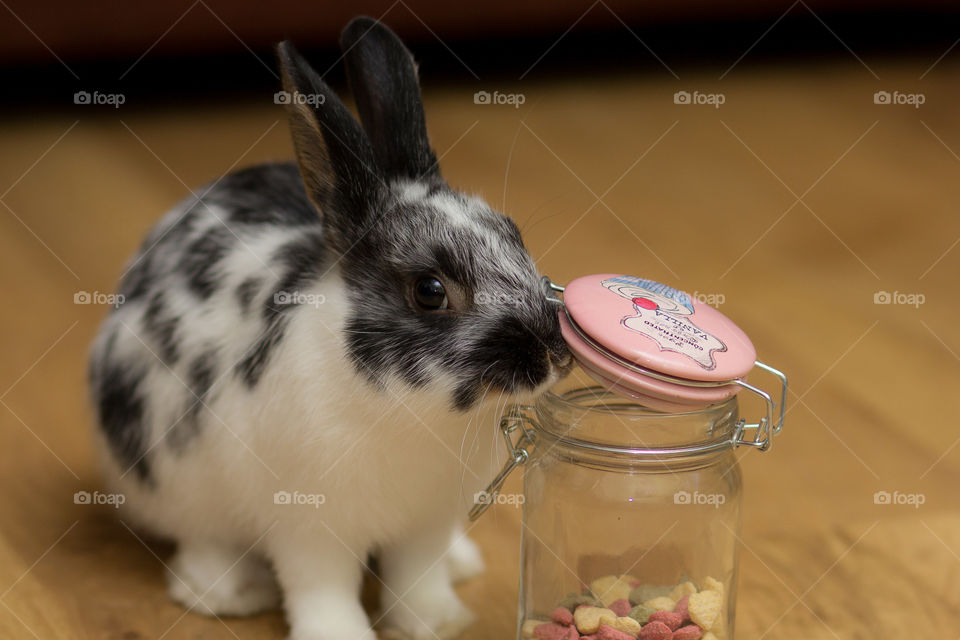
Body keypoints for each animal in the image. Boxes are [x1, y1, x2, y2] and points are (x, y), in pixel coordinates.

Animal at [87, 15, 572, 640]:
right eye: (430, 291)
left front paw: (438, 623)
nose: (552, 353)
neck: (414, 415)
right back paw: (227, 593)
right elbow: (321, 588)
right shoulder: (308, 526)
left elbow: (418, 576)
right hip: (170, 476)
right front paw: (342, 634)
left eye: (515, 235)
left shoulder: (427, 522)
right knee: (199, 542)